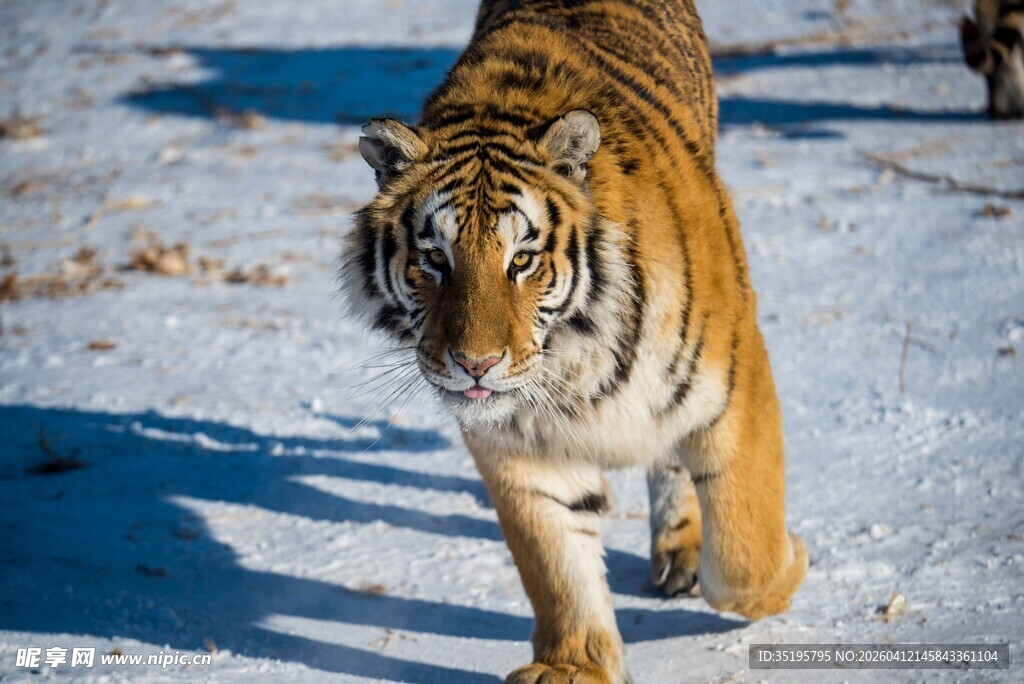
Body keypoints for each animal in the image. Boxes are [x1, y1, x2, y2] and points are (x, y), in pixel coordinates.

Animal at [341, 1, 807, 681]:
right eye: (434, 259)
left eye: (522, 259)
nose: (475, 364)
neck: (571, 357)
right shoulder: (515, 444)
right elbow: (555, 559)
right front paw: (574, 666)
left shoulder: (735, 380)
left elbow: (745, 554)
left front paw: (793, 561)